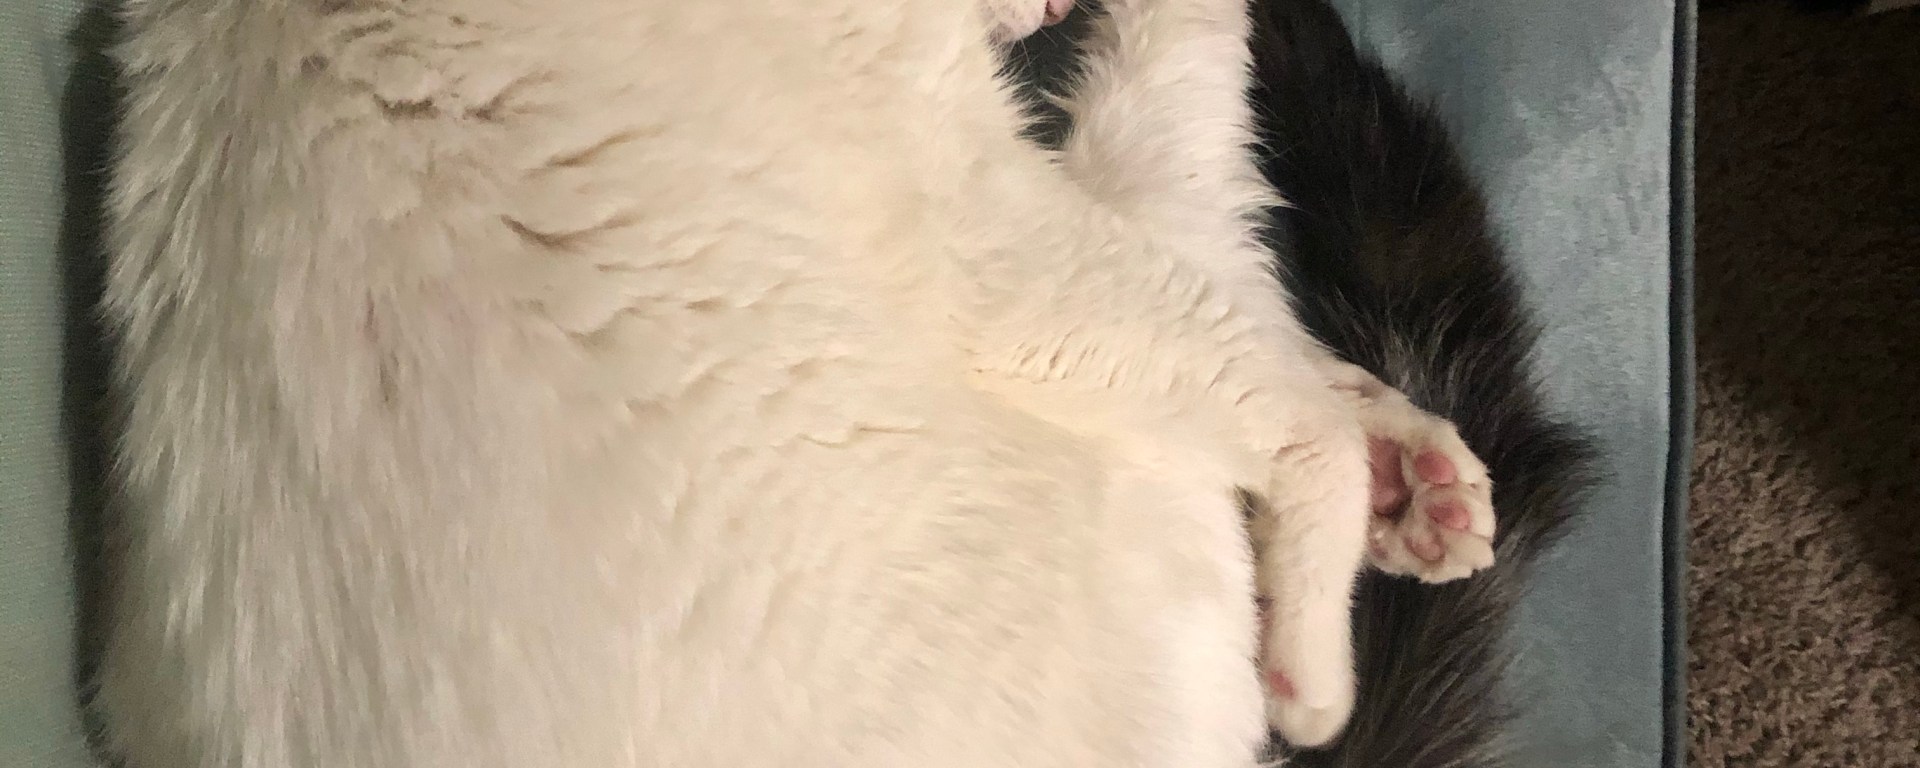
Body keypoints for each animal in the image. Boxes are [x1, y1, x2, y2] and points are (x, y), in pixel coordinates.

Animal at [95, 0, 1495, 765]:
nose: (1043, 13)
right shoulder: (985, 231)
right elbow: (1256, 378)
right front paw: (1332, 590)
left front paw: (1408, 482)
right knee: (1205, 219)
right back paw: (1319, 644)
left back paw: (1416, 487)